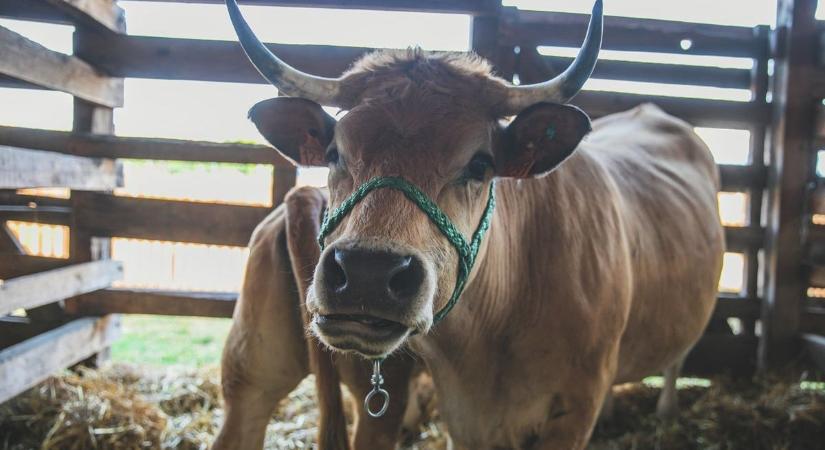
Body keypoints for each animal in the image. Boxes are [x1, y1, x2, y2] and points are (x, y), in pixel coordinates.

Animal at [212, 0, 720, 448]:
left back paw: (666, 410)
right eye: (335, 152)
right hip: (250, 374)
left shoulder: (575, 410)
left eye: (480, 164)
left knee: (676, 359)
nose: (366, 273)